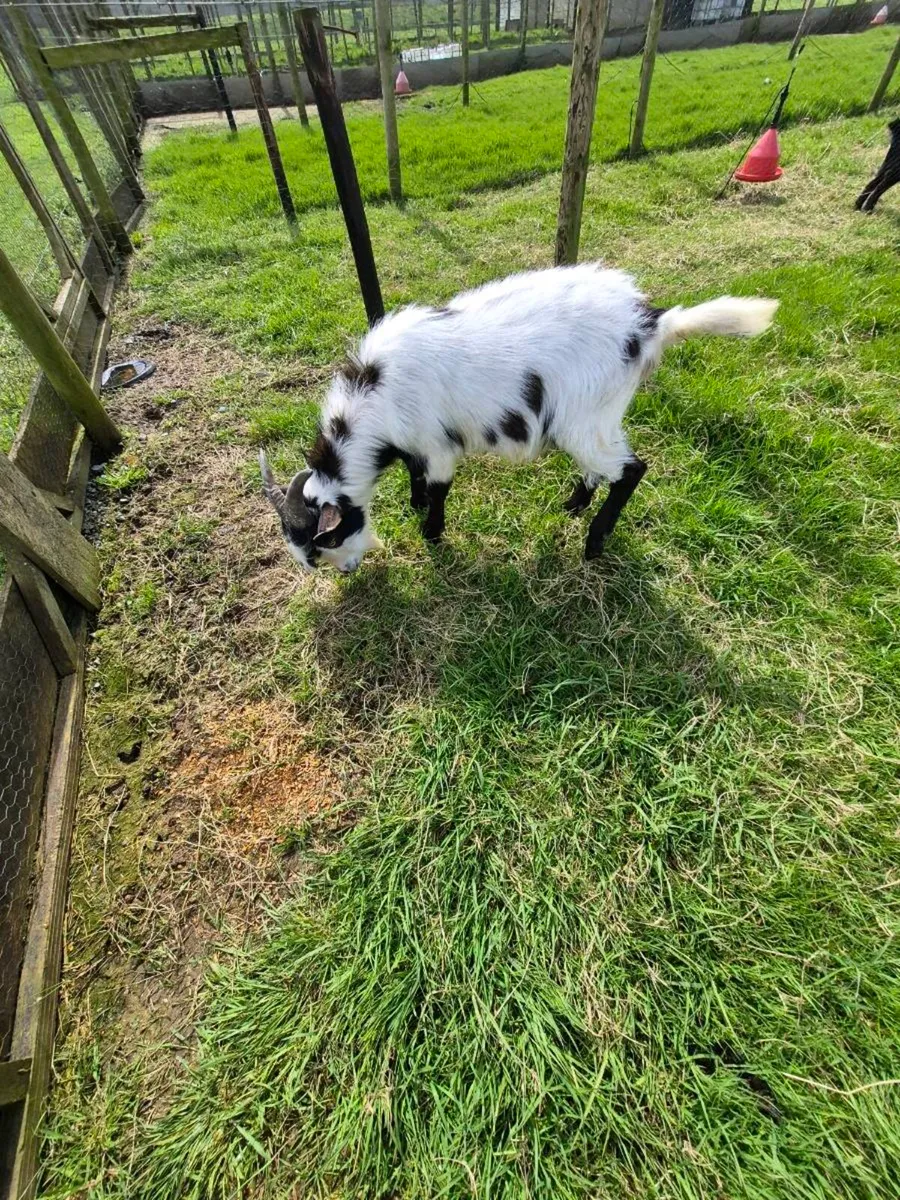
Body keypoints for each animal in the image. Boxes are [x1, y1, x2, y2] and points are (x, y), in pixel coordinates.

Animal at [261, 264, 777, 573]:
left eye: (323, 543)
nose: (349, 571)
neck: (376, 393)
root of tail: (651, 323)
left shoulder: (438, 444)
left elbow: (438, 486)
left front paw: (431, 532)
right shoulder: (414, 443)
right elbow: (414, 474)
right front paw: (415, 506)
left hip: (585, 418)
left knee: (631, 469)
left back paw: (594, 542)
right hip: (595, 418)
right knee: (603, 466)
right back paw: (572, 506)